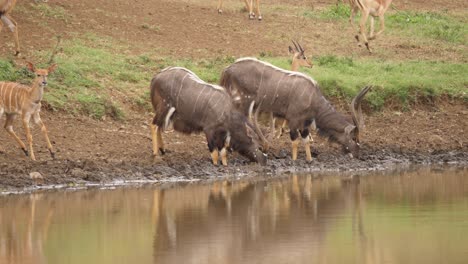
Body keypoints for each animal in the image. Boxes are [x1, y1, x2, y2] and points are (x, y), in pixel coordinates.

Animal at [221, 57, 372, 161]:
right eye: (354, 138)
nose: (358, 154)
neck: (313, 98)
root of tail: (228, 69)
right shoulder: (293, 120)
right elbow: (295, 141)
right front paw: (294, 160)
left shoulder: (304, 124)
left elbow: (305, 140)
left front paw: (309, 160)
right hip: (244, 101)